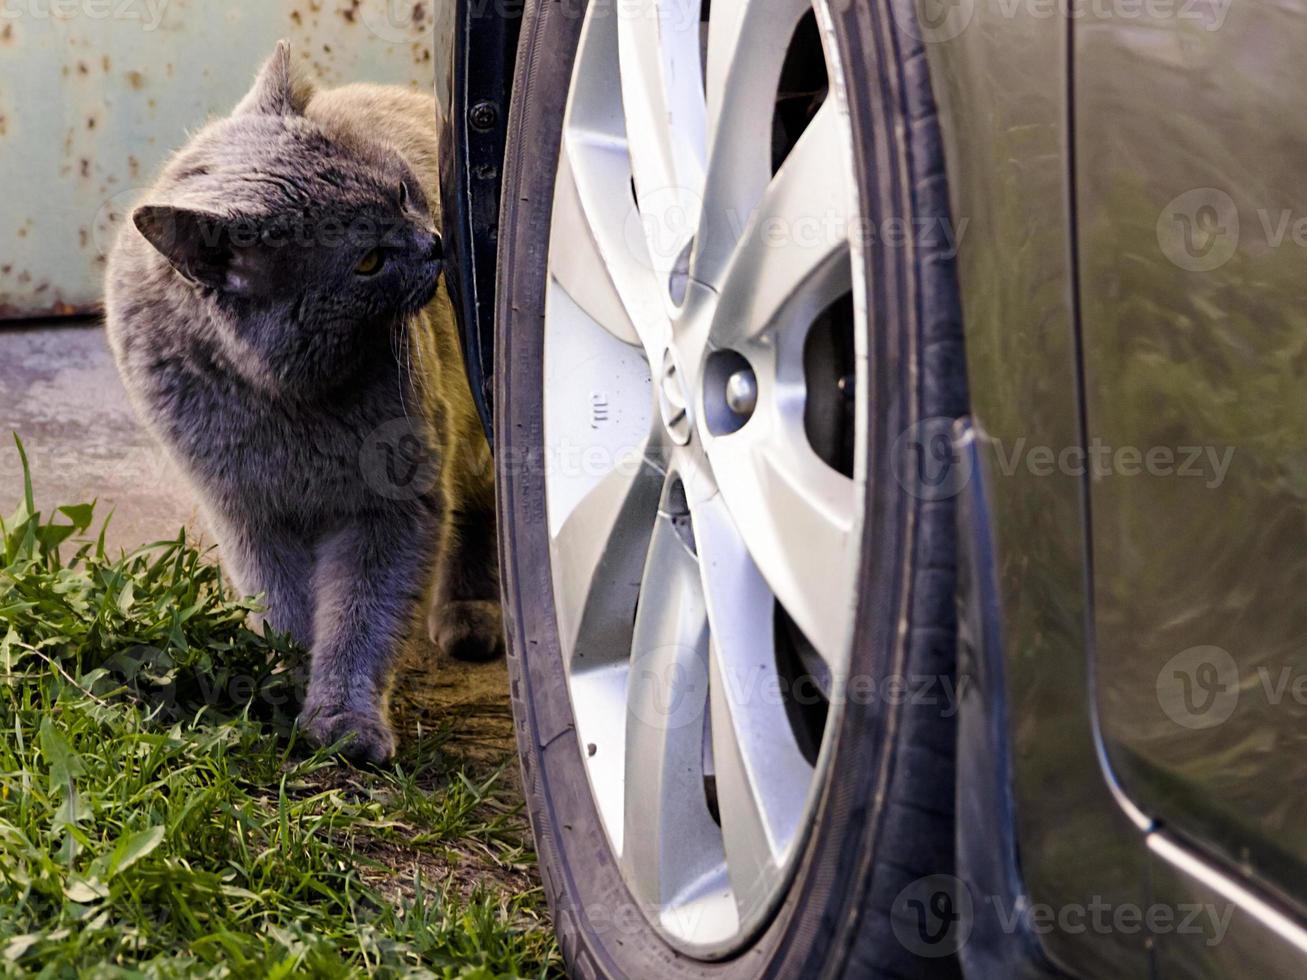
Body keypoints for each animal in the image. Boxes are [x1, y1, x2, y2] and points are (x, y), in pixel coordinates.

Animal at [105, 44, 499, 768]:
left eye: (403, 193)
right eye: (367, 261)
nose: (434, 244)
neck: (284, 401)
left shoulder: (392, 504)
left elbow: (361, 614)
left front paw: (343, 721)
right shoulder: (248, 509)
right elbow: (287, 608)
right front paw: (288, 687)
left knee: (483, 503)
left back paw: (470, 612)